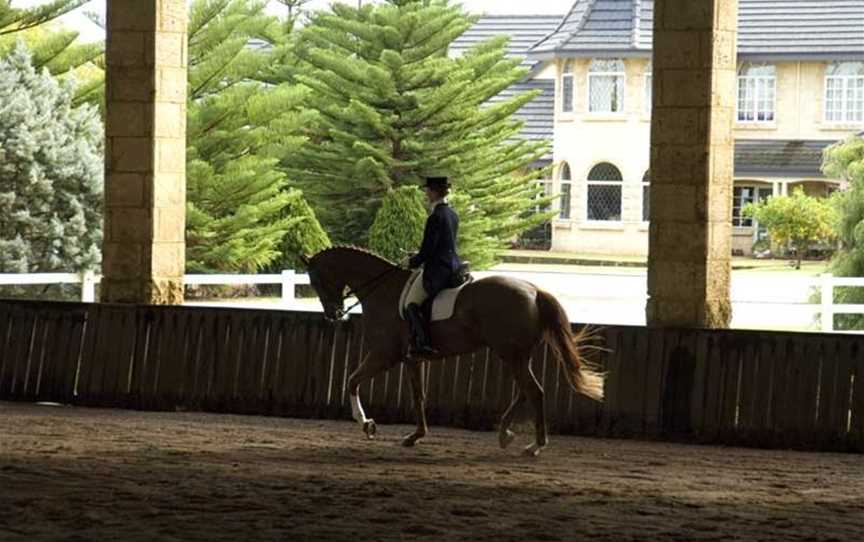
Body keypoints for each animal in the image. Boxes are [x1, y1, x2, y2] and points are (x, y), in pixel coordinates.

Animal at [300, 248, 604, 460]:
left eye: (316, 280)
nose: (333, 314)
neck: (382, 290)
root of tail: (535, 291)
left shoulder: (383, 354)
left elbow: (352, 380)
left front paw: (367, 424)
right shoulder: (412, 358)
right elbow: (418, 396)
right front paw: (415, 436)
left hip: (512, 354)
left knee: (534, 391)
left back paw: (534, 446)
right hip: (515, 354)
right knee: (525, 391)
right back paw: (506, 434)